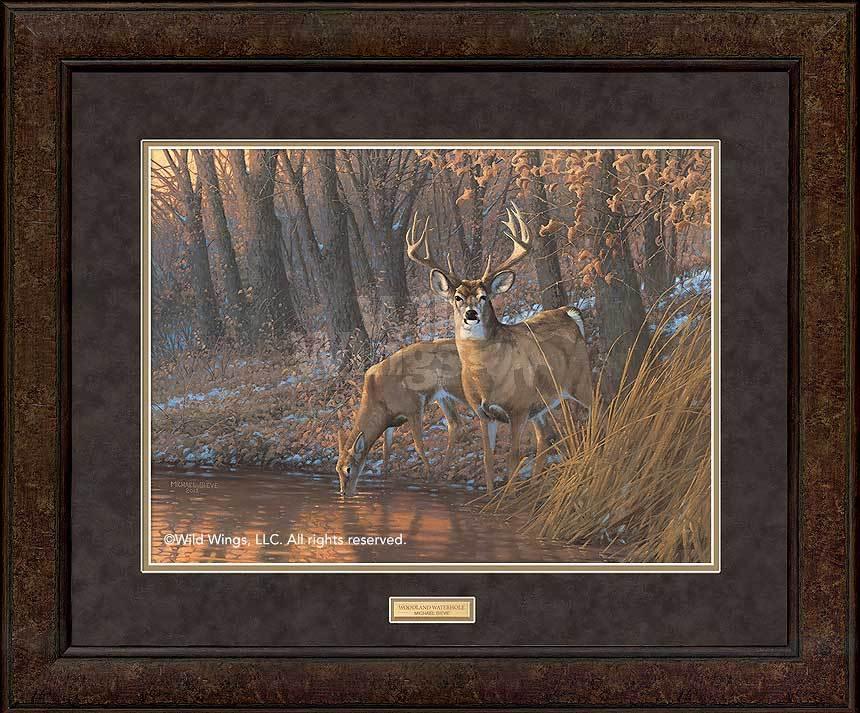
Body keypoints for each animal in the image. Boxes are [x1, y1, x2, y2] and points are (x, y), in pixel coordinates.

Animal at [336, 339, 467, 496]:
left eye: (348, 468)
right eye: (337, 469)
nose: (343, 492)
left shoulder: (413, 406)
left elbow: (418, 445)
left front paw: (429, 474)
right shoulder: (390, 423)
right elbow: (386, 450)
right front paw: (384, 476)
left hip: (458, 387)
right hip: (443, 396)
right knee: (455, 423)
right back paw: (443, 470)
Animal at [406, 206, 592, 493]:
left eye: (484, 296)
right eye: (457, 297)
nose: (471, 314)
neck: (486, 378)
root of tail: (568, 312)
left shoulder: (518, 409)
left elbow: (513, 458)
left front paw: (508, 496)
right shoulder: (484, 413)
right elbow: (488, 459)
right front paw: (493, 496)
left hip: (579, 381)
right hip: (541, 403)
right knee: (546, 435)